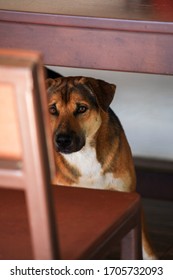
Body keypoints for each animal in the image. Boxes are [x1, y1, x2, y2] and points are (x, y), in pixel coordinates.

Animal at [46, 75, 157, 260]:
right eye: (53, 109)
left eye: (81, 108)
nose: (62, 141)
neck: (84, 155)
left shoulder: (129, 194)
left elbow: (146, 246)